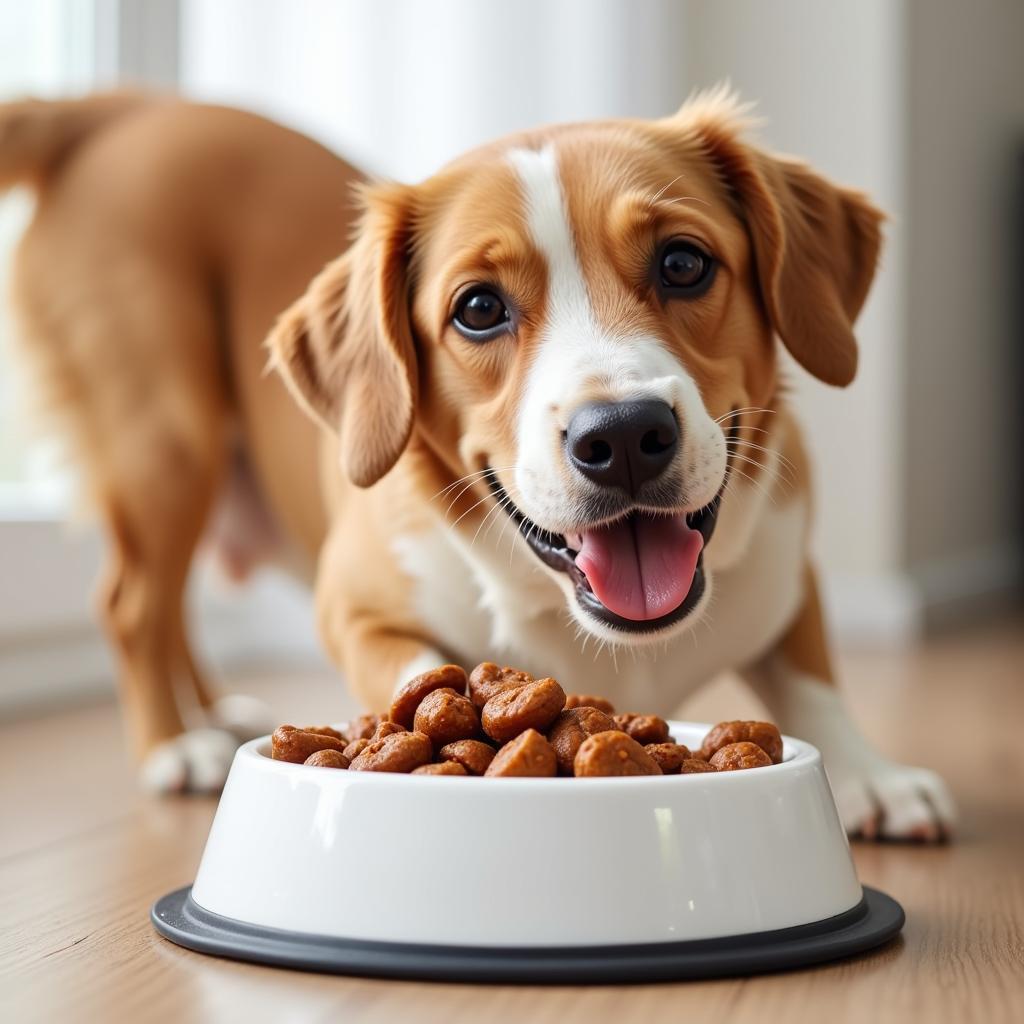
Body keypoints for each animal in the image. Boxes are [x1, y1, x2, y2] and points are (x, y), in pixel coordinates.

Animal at [6, 90, 950, 839]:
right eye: (479, 309)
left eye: (684, 262)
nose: (623, 435)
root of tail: (128, 109)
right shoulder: (353, 609)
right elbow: (420, 674)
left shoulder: (790, 565)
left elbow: (812, 676)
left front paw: (870, 773)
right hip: (168, 446)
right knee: (133, 604)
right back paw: (174, 744)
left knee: (167, 609)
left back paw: (208, 714)